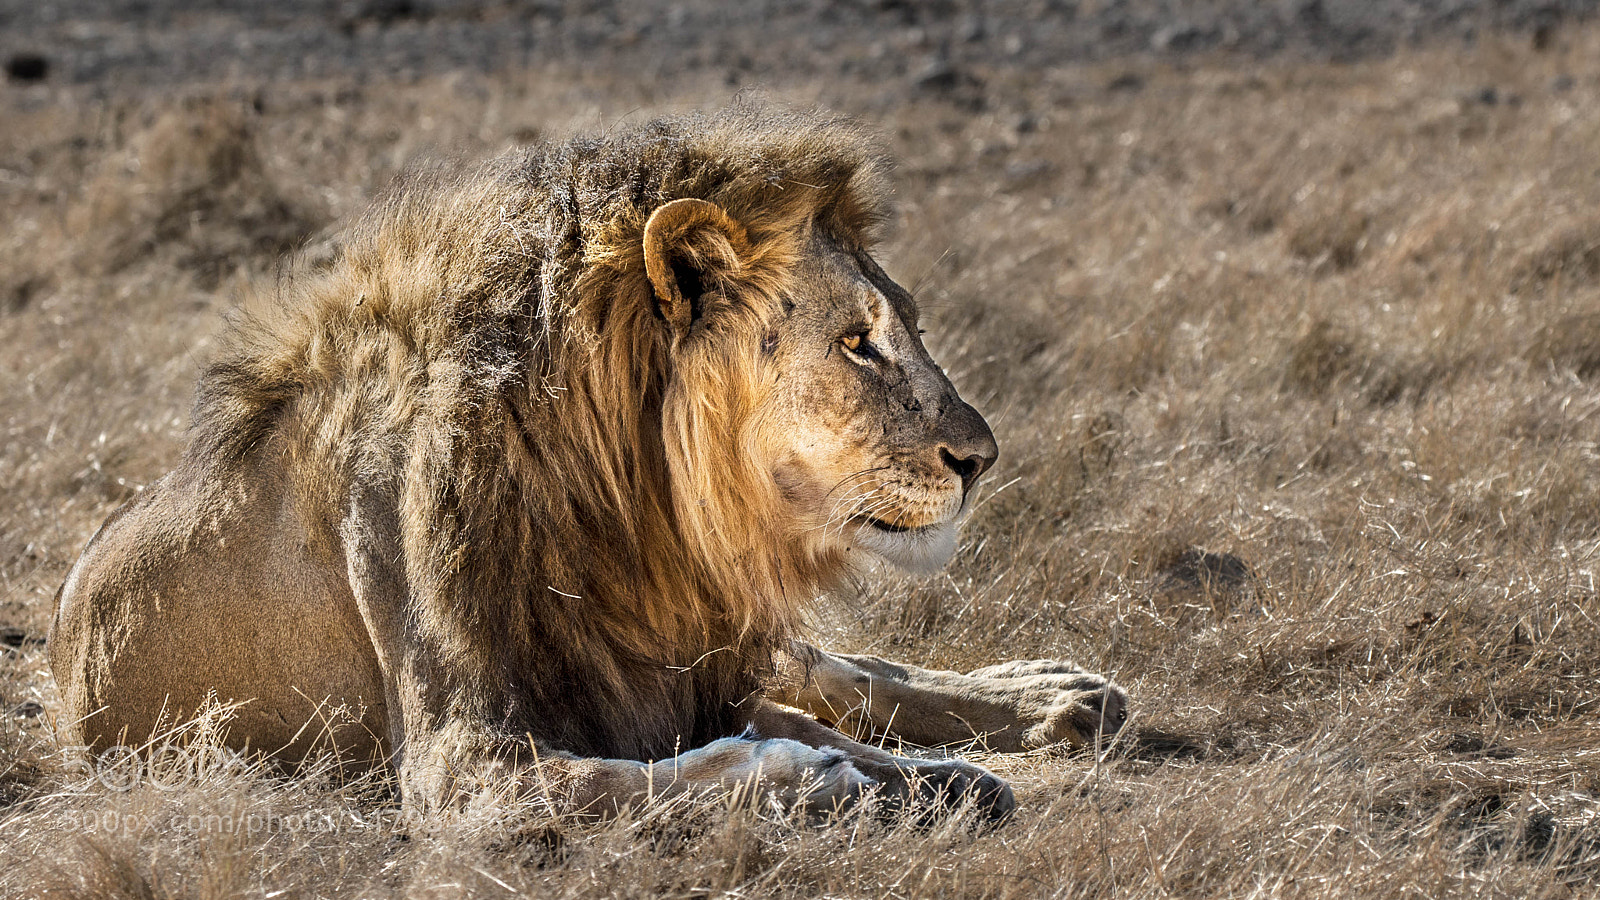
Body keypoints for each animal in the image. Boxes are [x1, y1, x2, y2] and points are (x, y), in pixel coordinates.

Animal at [49, 103, 1127, 823]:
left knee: (837, 668)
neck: (637, 515)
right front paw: (823, 780)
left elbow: (807, 711)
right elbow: (666, 771)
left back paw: (1056, 695)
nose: (981, 458)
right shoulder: (463, 767)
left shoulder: (684, 670)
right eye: (857, 343)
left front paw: (932, 778)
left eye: (909, 326)